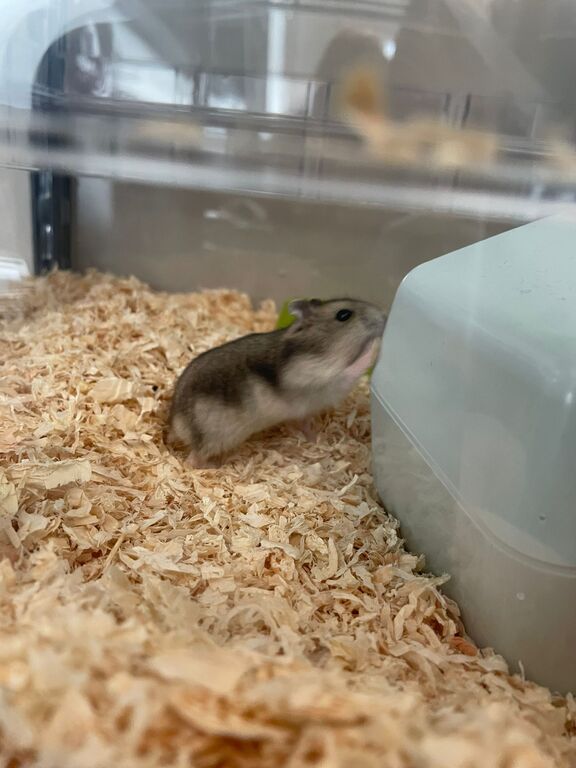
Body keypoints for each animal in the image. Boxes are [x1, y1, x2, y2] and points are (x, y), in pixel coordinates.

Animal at [168, 298, 386, 467]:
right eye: (343, 315)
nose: (385, 316)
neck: (319, 348)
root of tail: (175, 423)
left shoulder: (305, 409)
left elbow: (305, 424)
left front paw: (314, 439)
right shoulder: (325, 381)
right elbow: (353, 368)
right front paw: (375, 346)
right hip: (218, 437)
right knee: (192, 460)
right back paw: (214, 466)